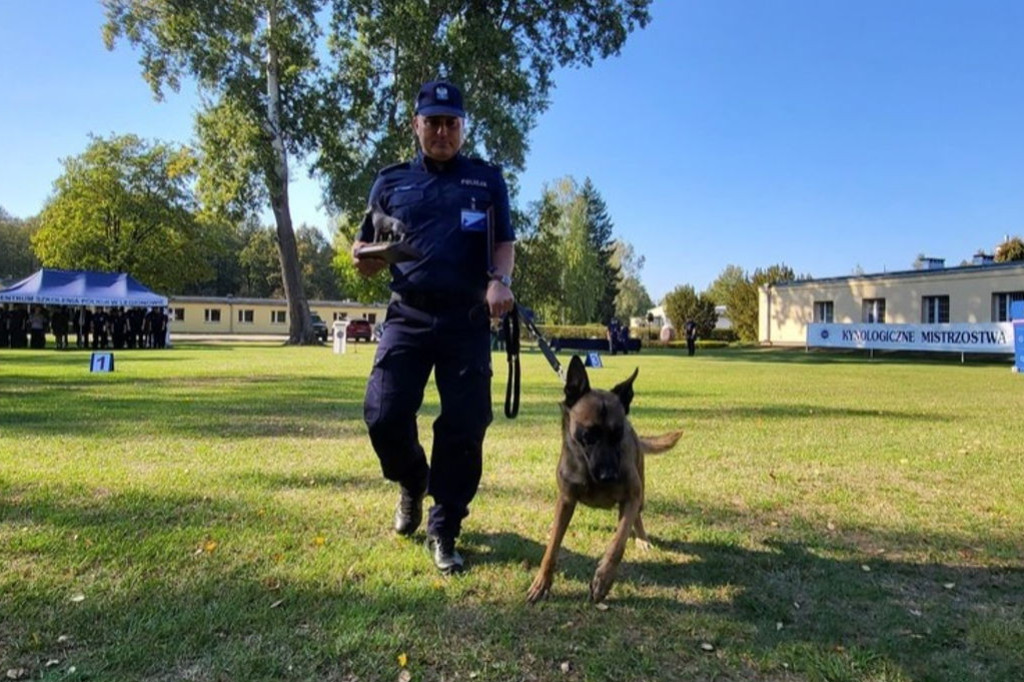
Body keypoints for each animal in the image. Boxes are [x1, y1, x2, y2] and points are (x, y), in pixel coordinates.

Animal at [528, 356, 679, 602]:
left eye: (618, 434)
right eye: (589, 435)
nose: (609, 476)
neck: (590, 473)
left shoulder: (631, 497)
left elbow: (617, 544)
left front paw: (603, 580)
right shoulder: (566, 500)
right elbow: (552, 548)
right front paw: (542, 583)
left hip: (640, 495)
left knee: (636, 518)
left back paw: (642, 539)